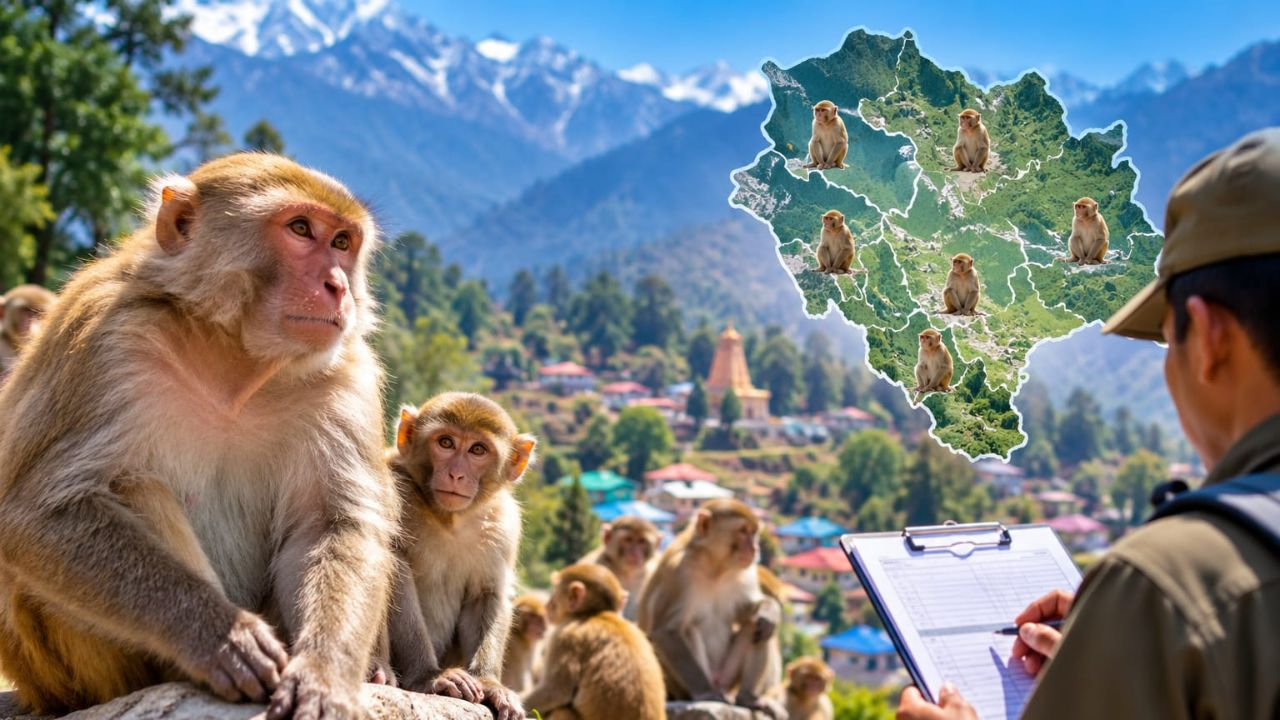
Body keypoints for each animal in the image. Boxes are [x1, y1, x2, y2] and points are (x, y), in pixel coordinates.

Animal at [0, 153, 397, 718]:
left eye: (343, 242)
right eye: (301, 229)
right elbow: (37, 513)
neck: (233, 358)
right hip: (52, 667)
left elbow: (332, 524)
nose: (338, 286)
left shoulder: (345, 377)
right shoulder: (105, 340)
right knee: (129, 484)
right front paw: (220, 638)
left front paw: (325, 673)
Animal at [384, 391, 535, 720]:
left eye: (478, 449)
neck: (450, 519)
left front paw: (490, 683)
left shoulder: (503, 523)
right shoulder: (395, 488)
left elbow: (486, 593)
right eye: (446, 443)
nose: (456, 474)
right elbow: (396, 573)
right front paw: (430, 676)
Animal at [523, 564, 667, 720]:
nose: (548, 604)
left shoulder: (565, 637)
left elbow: (556, 691)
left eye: (554, 592)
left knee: (561, 710)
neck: (595, 614)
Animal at [637, 498, 785, 716]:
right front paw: (705, 693)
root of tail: (719, 682)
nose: (755, 548)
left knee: (758, 626)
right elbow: (666, 630)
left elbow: (749, 610)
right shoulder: (679, 572)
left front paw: (769, 611)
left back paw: (748, 698)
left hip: (728, 677)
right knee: (687, 627)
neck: (715, 567)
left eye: (753, 532)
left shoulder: (746, 571)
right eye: (743, 531)